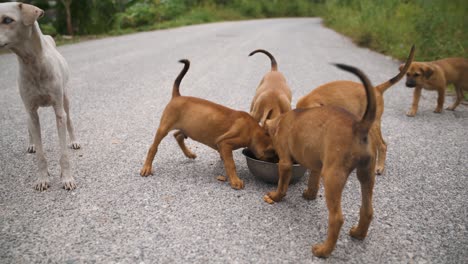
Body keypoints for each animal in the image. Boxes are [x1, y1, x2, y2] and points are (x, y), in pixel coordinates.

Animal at [0, 3, 80, 191]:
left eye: (7, 20)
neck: (32, 63)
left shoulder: (59, 111)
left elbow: (63, 153)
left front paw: (66, 178)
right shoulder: (31, 110)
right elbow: (40, 154)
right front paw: (43, 178)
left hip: (65, 99)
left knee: (70, 120)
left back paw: (73, 140)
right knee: (29, 125)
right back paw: (31, 145)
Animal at [141, 59, 276, 190]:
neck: (253, 131)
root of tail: (177, 96)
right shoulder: (225, 143)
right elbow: (231, 164)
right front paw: (235, 181)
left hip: (188, 128)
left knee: (177, 135)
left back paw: (189, 153)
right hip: (164, 128)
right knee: (153, 147)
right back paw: (147, 168)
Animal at [264, 63, 376, 258]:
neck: (282, 120)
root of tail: (360, 126)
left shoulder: (285, 162)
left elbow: (282, 185)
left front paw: (276, 196)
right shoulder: (315, 164)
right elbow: (313, 182)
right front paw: (309, 195)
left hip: (332, 177)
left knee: (337, 218)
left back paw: (323, 251)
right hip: (366, 174)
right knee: (367, 210)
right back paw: (358, 234)